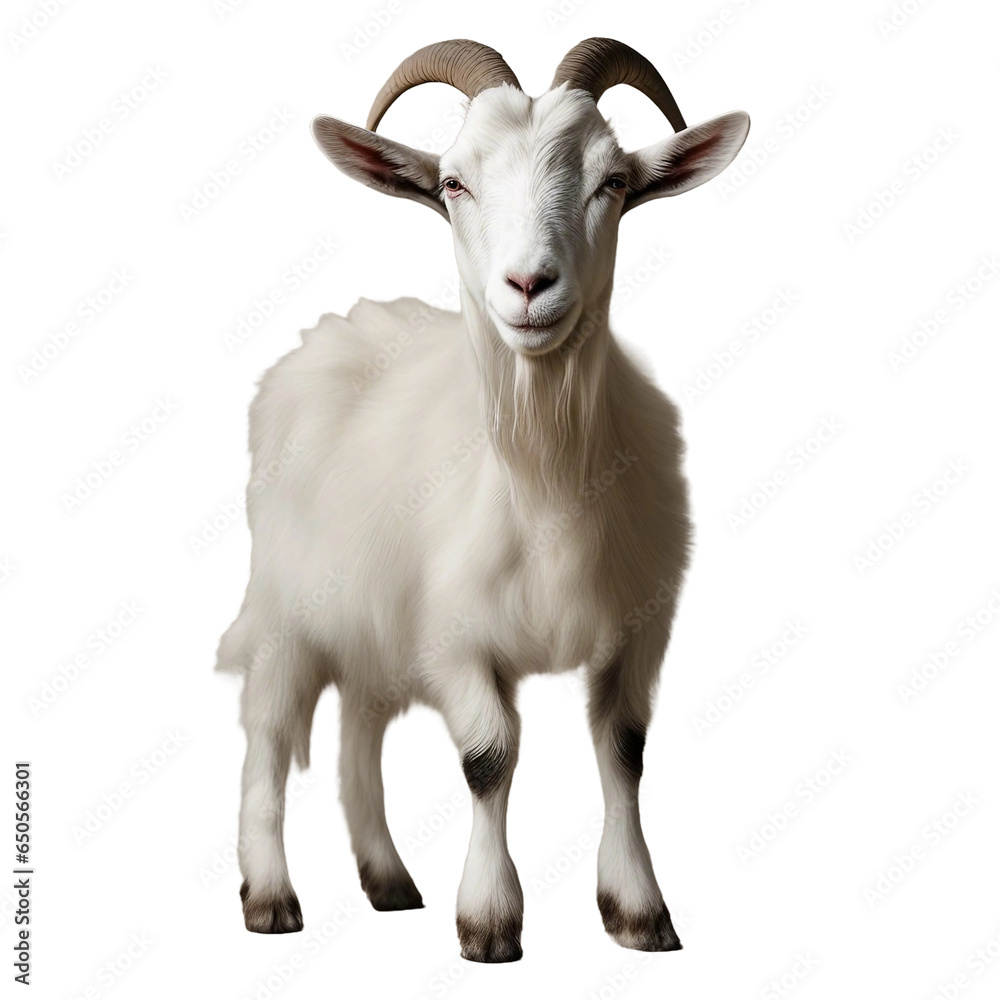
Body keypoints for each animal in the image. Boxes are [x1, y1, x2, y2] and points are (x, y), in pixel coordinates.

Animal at [217, 37, 749, 962]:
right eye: (454, 184)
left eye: (613, 181)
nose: (529, 285)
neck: (546, 485)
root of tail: (329, 334)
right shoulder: (455, 634)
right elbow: (489, 758)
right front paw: (490, 921)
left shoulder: (638, 628)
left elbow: (624, 752)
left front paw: (639, 912)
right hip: (286, 603)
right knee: (270, 733)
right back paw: (271, 896)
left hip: (375, 620)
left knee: (359, 731)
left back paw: (389, 882)